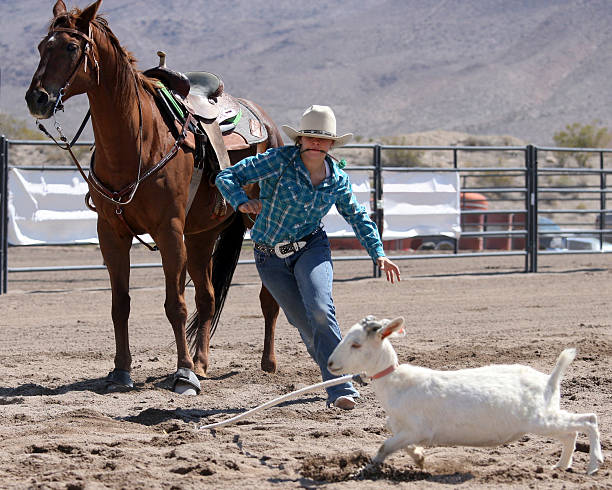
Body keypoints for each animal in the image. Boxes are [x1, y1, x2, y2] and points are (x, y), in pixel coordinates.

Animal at [24, 0, 280, 392]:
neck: (136, 142)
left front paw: (184, 374)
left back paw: (266, 362)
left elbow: (175, 305)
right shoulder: (111, 233)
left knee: (267, 296)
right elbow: (120, 304)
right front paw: (121, 371)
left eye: (70, 47)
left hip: (259, 222)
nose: (37, 97)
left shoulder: (169, 231)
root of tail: (267, 124)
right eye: (41, 46)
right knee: (208, 298)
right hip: (202, 235)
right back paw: (203, 362)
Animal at [328, 316, 604, 472]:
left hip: (542, 419)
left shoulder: (416, 429)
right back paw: (561, 466)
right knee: (571, 433)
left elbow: (384, 446)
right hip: (548, 417)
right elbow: (396, 442)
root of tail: (549, 380)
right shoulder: (403, 430)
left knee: (588, 421)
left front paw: (364, 470)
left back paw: (593, 465)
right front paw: (419, 458)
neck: (397, 383)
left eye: (356, 344)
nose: (330, 364)